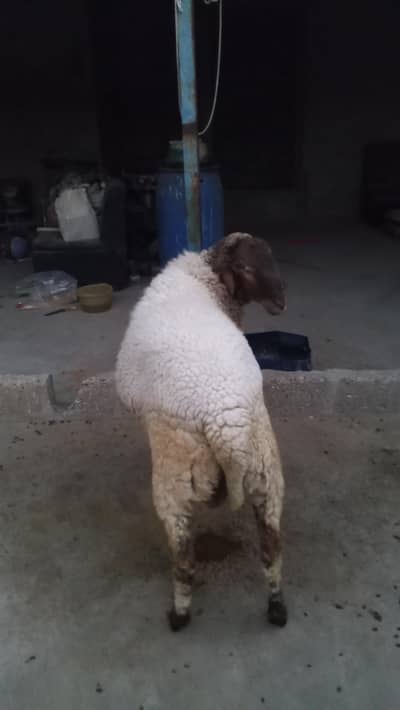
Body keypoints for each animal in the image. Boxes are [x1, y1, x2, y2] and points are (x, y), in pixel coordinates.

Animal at [116, 232, 288, 631]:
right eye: (245, 266)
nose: (281, 300)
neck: (203, 278)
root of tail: (228, 431)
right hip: (266, 471)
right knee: (272, 550)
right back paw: (277, 609)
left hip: (176, 478)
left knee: (184, 562)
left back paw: (179, 615)